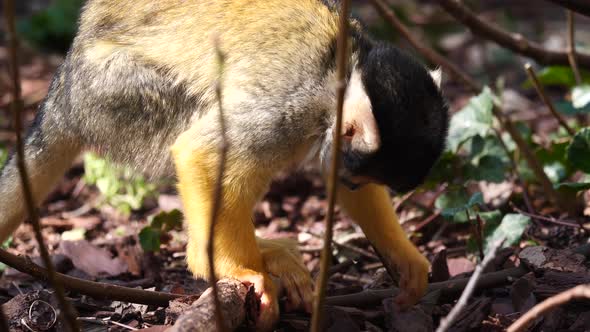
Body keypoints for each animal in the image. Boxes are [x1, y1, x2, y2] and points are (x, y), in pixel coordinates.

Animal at [0, 0, 448, 330]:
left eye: (357, 182)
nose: (352, 183)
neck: (345, 69)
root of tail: (65, 88)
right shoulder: (293, 106)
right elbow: (202, 153)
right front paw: (238, 270)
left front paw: (405, 257)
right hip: (114, 95)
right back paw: (213, 258)